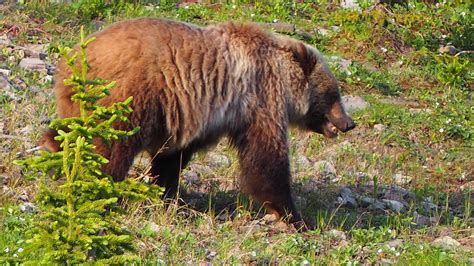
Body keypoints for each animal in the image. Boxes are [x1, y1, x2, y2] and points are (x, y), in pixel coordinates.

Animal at [40, 18, 356, 230]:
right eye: (334, 93)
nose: (348, 122)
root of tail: (77, 57)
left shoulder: (196, 113)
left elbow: (172, 156)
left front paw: (167, 193)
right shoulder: (259, 99)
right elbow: (266, 160)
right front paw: (295, 216)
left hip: (82, 101)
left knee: (74, 130)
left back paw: (52, 153)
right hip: (128, 96)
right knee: (111, 146)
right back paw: (100, 186)